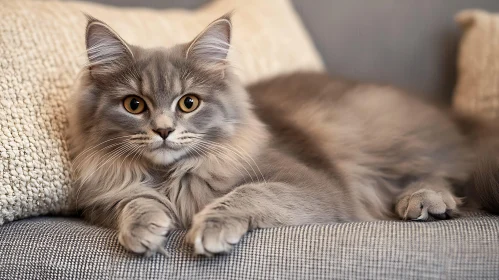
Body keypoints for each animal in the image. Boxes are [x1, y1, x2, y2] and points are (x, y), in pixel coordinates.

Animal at [67, 14, 499, 258]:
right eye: (134, 105)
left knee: (447, 173)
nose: (162, 130)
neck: (172, 177)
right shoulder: (104, 198)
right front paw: (145, 228)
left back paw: (425, 200)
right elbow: (134, 201)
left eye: (188, 103)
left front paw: (211, 227)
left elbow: (248, 194)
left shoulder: (315, 187)